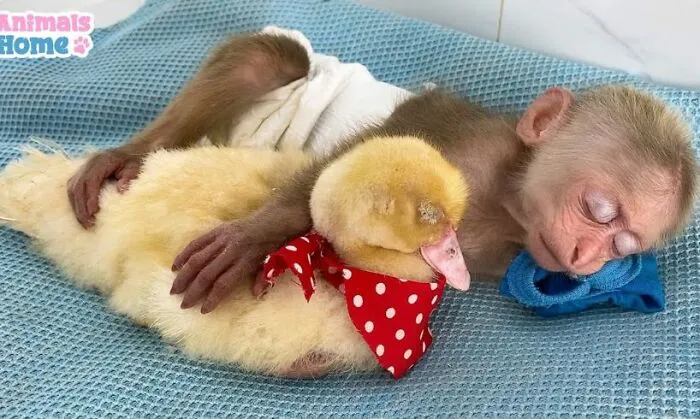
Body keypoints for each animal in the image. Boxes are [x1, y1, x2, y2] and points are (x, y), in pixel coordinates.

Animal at [65, 28, 699, 315]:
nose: (584, 260)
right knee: (269, 57)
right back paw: (131, 154)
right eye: (598, 210)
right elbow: (344, 168)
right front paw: (252, 236)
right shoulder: (462, 138)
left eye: (622, 245)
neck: (507, 200)